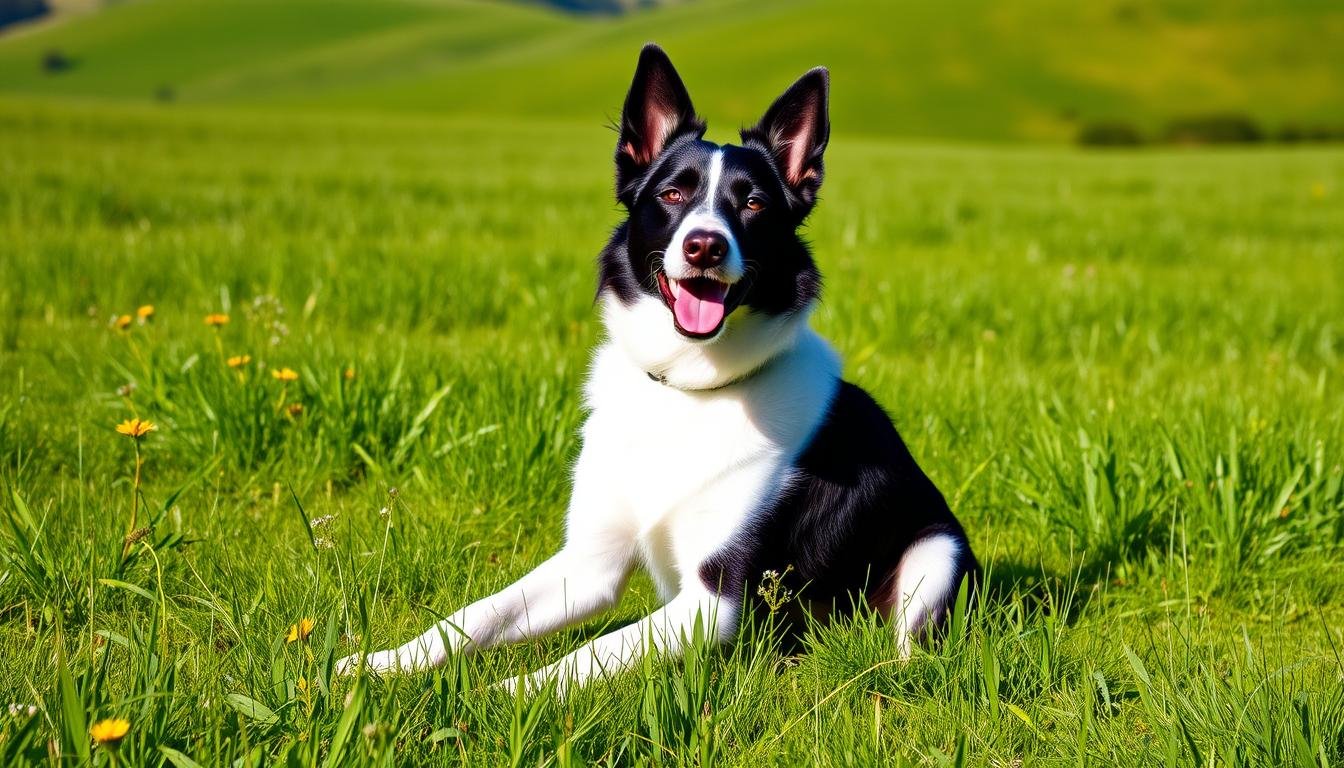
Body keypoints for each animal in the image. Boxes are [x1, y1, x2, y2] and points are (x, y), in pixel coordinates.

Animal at [338, 48, 978, 699]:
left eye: (754, 204)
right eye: (672, 194)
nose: (704, 246)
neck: (689, 388)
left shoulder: (713, 602)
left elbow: (586, 656)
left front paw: (497, 699)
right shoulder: (588, 564)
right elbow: (476, 617)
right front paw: (379, 667)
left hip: (936, 553)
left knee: (902, 649)